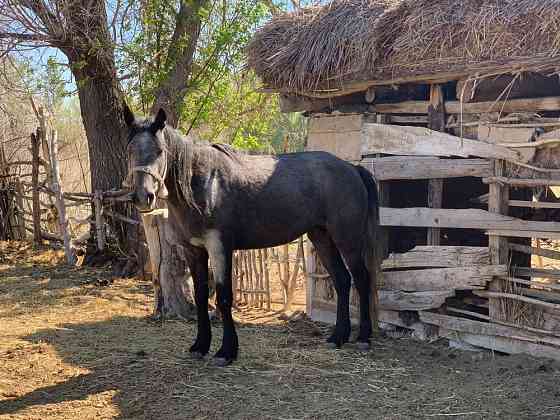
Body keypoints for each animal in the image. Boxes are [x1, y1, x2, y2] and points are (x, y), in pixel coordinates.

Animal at [123, 104, 380, 364]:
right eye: (130, 150)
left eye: (160, 151)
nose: (143, 196)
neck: (203, 182)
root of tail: (352, 169)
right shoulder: (193, 249)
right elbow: (200, 295)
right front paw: (200, 346)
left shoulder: (219, 248)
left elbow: (224, 297)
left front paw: (226, 351)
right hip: (321, 237)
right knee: (342, 280)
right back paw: (338, 337)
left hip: (347, 239)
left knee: (361, 278)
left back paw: (363, 337)